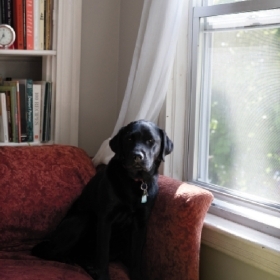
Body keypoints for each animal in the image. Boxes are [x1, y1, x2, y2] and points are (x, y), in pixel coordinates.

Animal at [31, 120, 173, 280]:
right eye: (129, 139)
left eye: (150, 141)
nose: (137, 156)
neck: (134, 182)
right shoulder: (105, 219)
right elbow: (103, 253)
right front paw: (103, 276)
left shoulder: (141, 223)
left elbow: (136, 256)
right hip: (82, 219)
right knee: (50, 252)